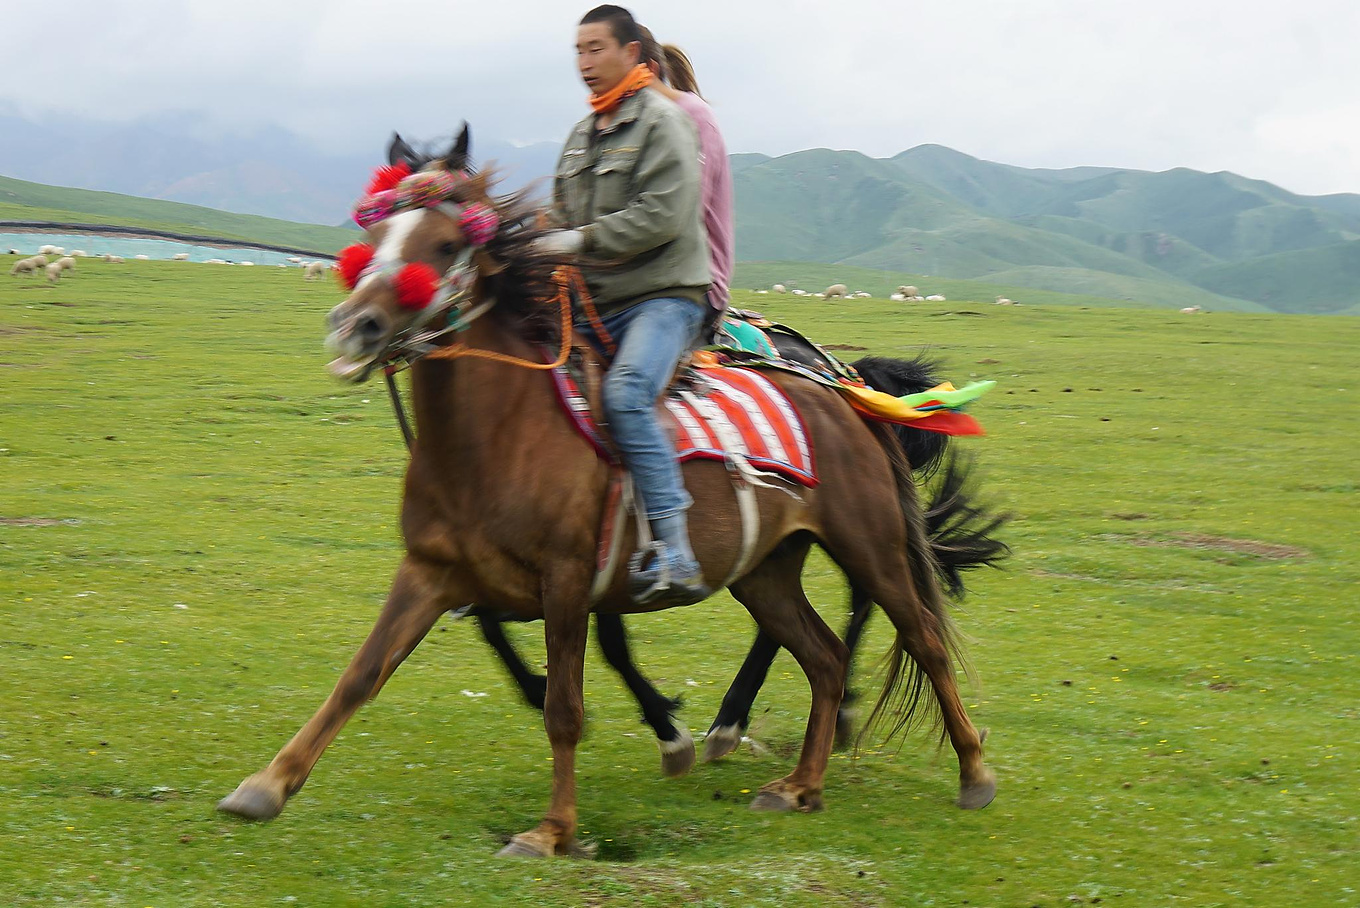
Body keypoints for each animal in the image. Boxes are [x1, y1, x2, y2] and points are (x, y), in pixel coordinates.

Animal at [217, 129, 995, 859]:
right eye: (372, 240)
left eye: (443, 243)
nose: (357, 326)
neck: (497, 433)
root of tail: (842, 393)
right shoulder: (432, 572)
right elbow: (362, 673)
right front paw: (265, 786)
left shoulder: (568, 579)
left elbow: (565, 706)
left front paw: (554, 829)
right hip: (766, 570)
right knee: (823, 655)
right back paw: (799, 781)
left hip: (868, 543)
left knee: (920, 638)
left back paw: (971, 774)